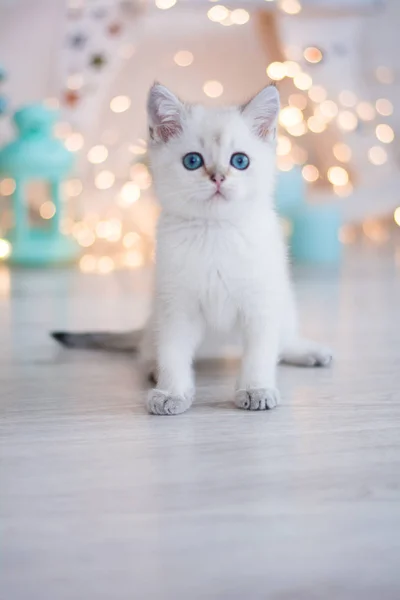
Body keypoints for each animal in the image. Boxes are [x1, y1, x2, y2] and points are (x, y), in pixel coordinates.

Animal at [144, 82, 332, 414]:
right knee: (146, 350)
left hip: (284, 301)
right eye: (192, 161)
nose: (218, 177)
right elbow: (173, 354)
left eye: (239, 161)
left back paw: (309, 352)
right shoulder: (176, 305)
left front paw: (256, 389)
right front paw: (171, 393)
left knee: (283, 342)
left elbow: (260, 354)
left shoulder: (260, 303)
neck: (216, 232)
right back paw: (152, 369)